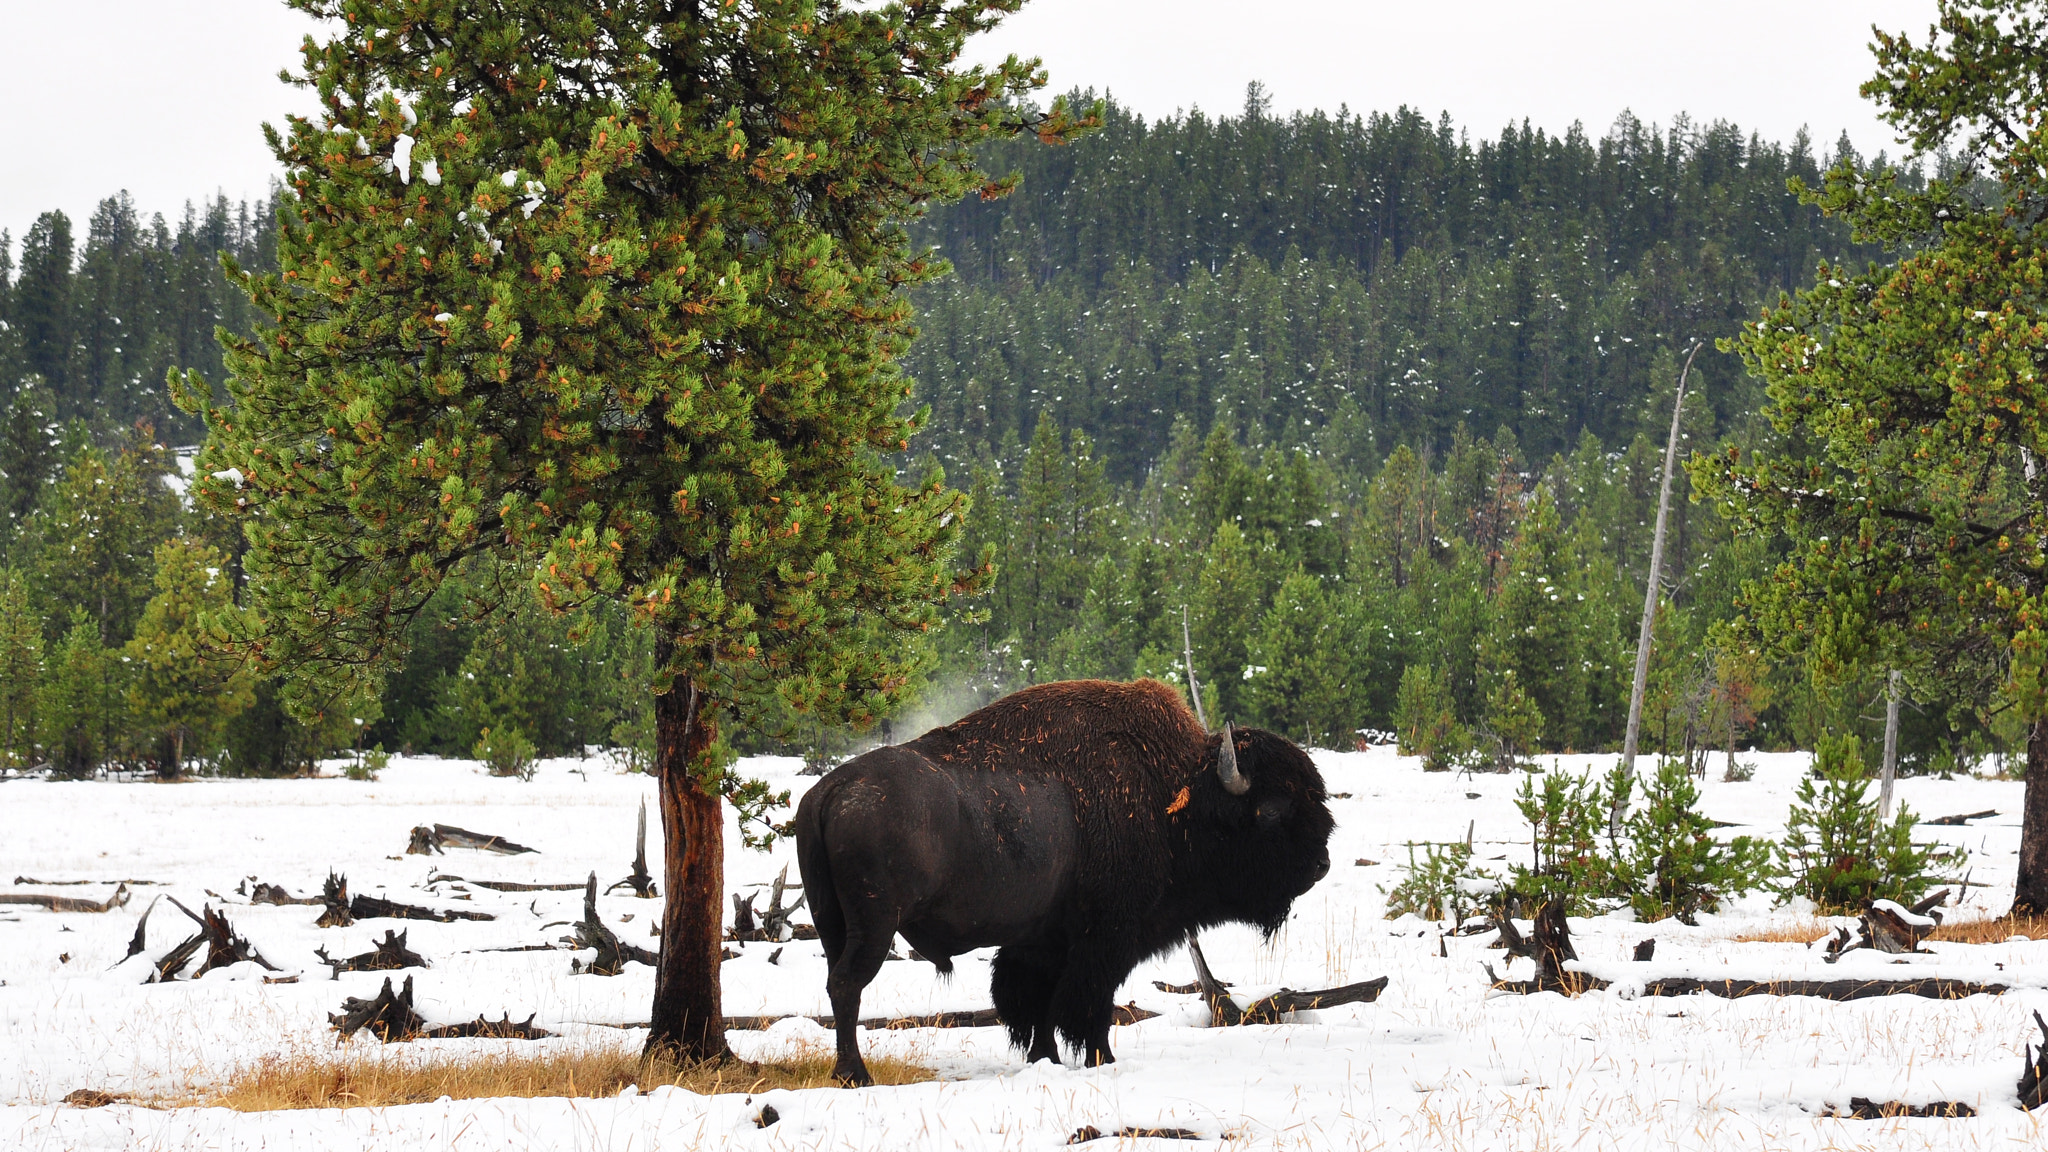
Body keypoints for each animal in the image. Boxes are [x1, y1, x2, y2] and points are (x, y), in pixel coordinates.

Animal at [794, 678, 1335, 1085]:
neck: (1174, 792)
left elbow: (1036, 1002)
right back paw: (855, 1074)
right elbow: (1086, 1001)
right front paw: (1102, 1058)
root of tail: (829, 792)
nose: (1321, 865)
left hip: (830, 921)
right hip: (875, 925)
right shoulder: (1105, 937)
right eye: (1273, 811)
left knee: (836, 983)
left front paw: (1045, 1059)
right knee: (847, 984)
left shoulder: (1044, 939)